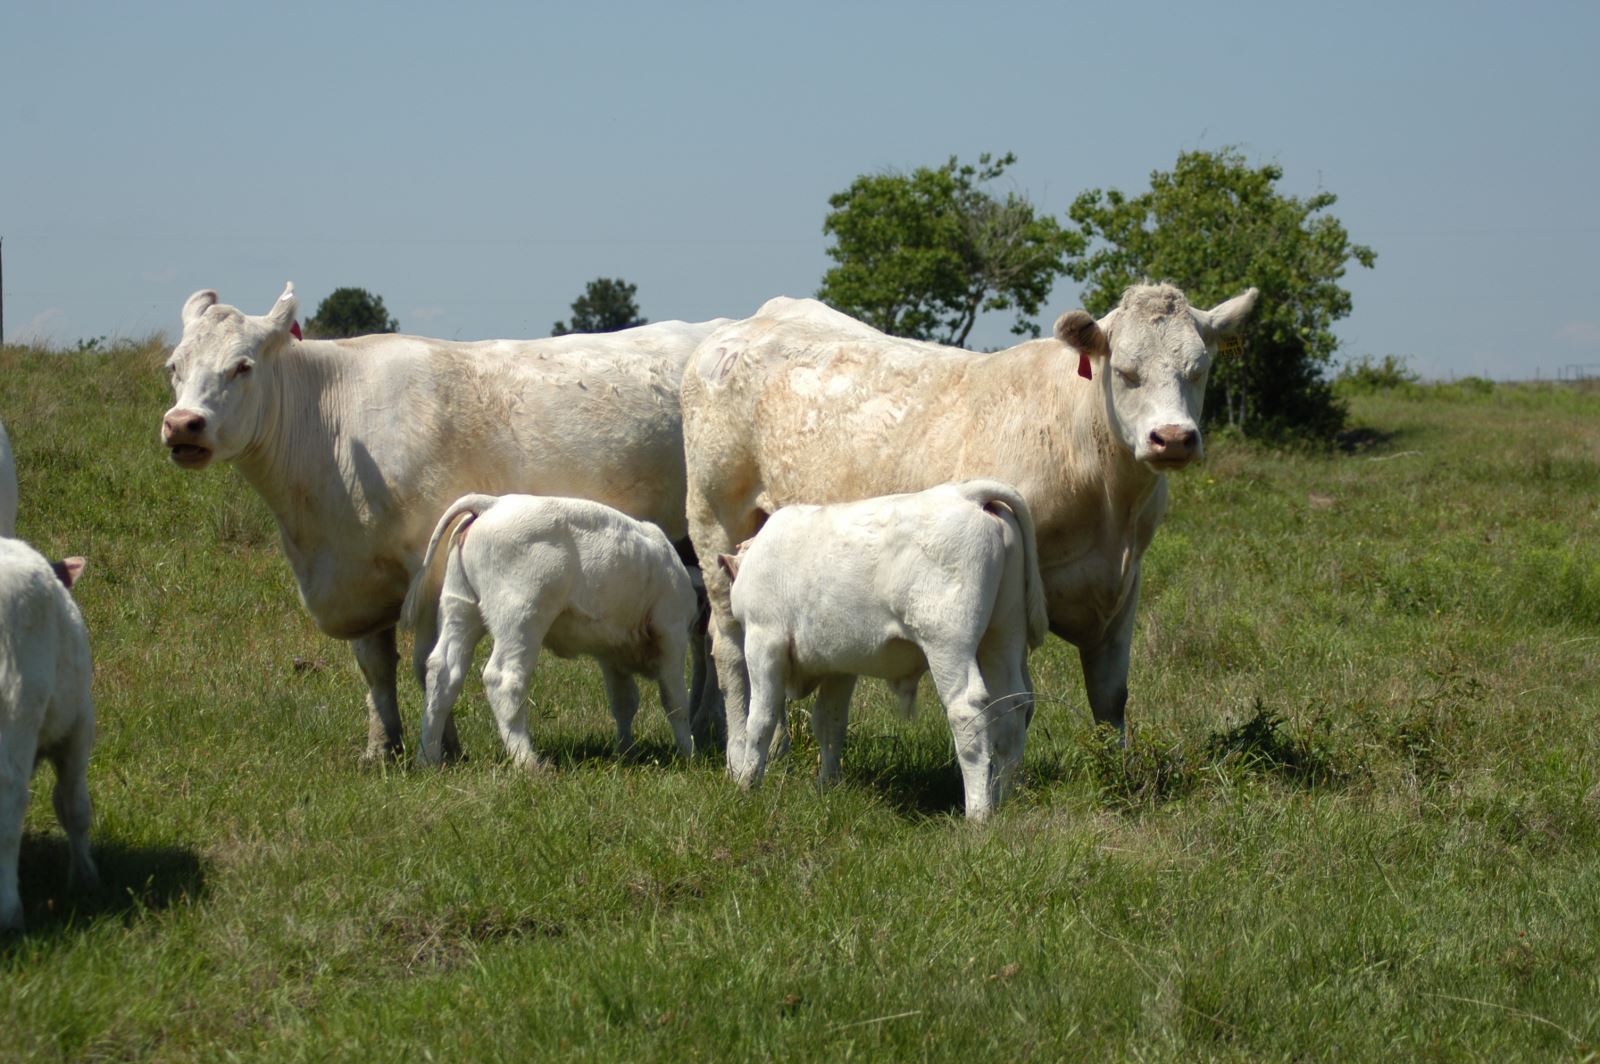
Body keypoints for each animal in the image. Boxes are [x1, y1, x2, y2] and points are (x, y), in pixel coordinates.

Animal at [400, 492, 694, 768]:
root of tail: (492, 503)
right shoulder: (671, 630)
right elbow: (676, 700)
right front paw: (689, 755)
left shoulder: (612, 650)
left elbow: (624, 702)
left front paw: (626, 753)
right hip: (521, 617)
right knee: (503, 678)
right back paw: (528, 761)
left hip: (459, 609)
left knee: (443, 673)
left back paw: (429, 758)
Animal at [681, 281, 1254, 764]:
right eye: (1126, 373)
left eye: (1199, 369)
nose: (1173, 438)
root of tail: (745, 326)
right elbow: (1016, 701)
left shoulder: (1122, 585)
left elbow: (1111, 695)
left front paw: (1116, 770)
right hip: (715, 521)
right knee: (730, 650)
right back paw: (739, 756)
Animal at [723, 476, 1049, 816]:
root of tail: (966, 494)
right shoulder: (839, 664)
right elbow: (829, 723)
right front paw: (827, 785)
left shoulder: (763, 642)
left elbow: (760, 720)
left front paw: (746, 785)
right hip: (1003, 637)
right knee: (1012, 707)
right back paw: (1003, 797)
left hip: (949, 645)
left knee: (967, 711)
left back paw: (977, 812)